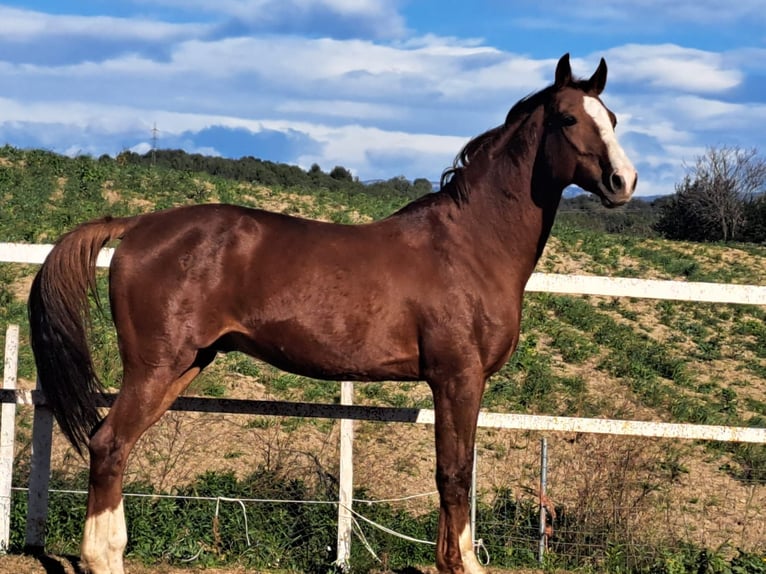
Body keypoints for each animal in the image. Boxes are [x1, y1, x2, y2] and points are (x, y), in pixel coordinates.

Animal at [28, 51, 636, 572]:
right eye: (567, 118)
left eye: (611, 118)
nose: (623, 182)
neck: (470, 244)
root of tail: (137, 225)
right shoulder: (458, 379)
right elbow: (454, 474)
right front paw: (460, 564)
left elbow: (454, 474)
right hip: (156, 366)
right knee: (108, 445)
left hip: (184, 366)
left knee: (115, 445)